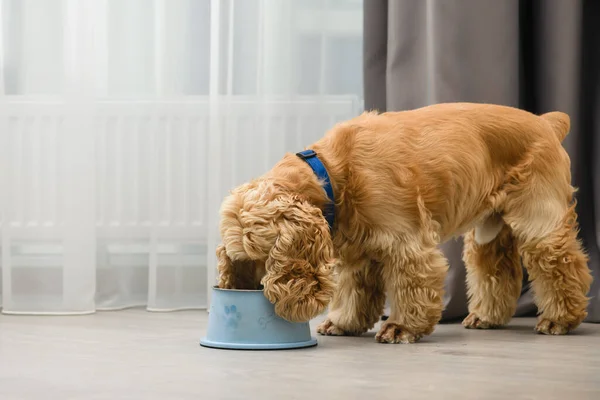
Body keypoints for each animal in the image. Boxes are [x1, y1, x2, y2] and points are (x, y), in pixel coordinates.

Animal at [214, 103, 592, 344]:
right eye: (240, 258)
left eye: (262, 254)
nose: (247, 290)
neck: (333, 173)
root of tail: (546, 123)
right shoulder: (359, 249)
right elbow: (355, 291)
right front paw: (344, 322)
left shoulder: (406, 242)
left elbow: (411, 285)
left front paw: (402, 328)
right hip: (490, 228)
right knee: (496, 269)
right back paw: (486, 317)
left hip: (539, 220)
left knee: (562, 265)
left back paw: (559, 319)